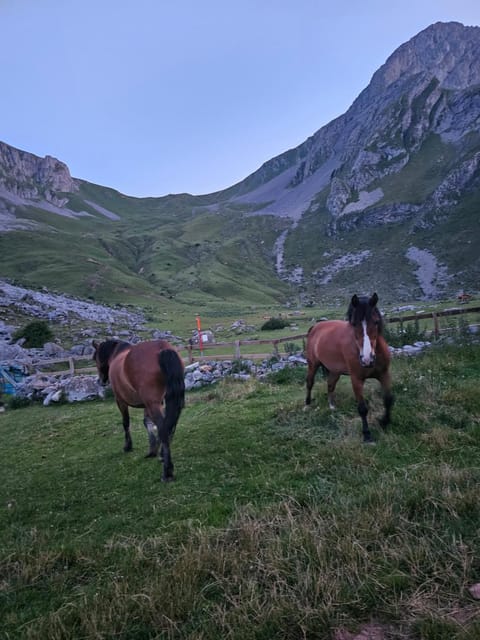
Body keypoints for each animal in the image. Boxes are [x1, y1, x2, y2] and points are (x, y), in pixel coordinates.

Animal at [93, 340, 185, 480]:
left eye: (95, 358)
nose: (101, 381)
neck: (117, 354)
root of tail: (161, 347)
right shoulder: (149, 404)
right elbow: (147, 422)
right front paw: (153, 449)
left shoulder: (120, 401)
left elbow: (126, 422)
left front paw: (128, 446)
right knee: (169, 425)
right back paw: (163, 456)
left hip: (152, 403)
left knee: (163, 428)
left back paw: (167, 471)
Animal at [308, 294, 394, 440]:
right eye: (354, 323)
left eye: (376, 322)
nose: (367, 359)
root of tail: (315, 326)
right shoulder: (356, 379)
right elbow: (362, 409)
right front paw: (367, 435)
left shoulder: (384, 374)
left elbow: (388, 400)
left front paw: (384, 422)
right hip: (312, 364)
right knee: (309, 382)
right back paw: (307, 405)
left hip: (334, 371)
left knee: (330, 385)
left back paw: (332, 406)